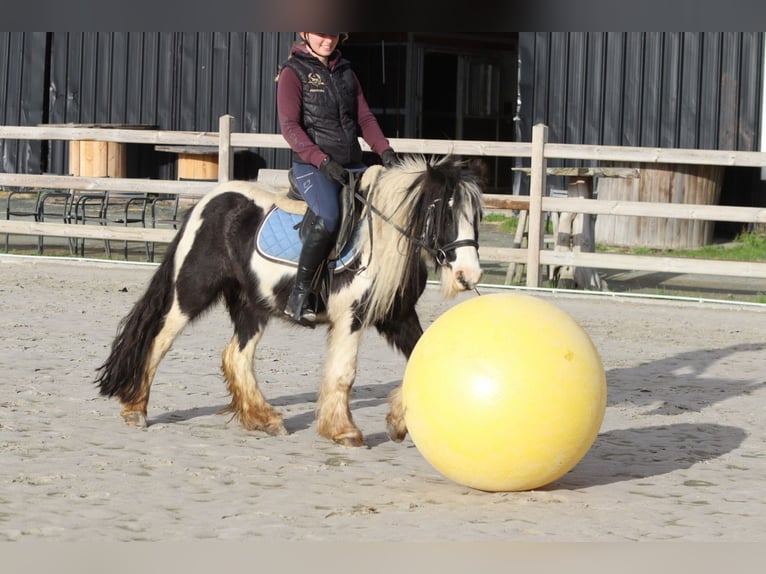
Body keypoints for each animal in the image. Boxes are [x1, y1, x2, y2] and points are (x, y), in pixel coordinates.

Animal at [95, 155, 485, 447]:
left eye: (476, 215)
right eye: (444, 210)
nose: (470, 274)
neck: (380, 240)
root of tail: (208, 201)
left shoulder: (398, 316)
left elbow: (417, 358)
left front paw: (397, 422)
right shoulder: (352, 316)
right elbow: (344, 373)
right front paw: (343, 430)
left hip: (252, 305)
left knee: (237, 356)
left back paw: (263, 419)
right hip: (192, 292)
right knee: (160, 340)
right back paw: (136, 409)